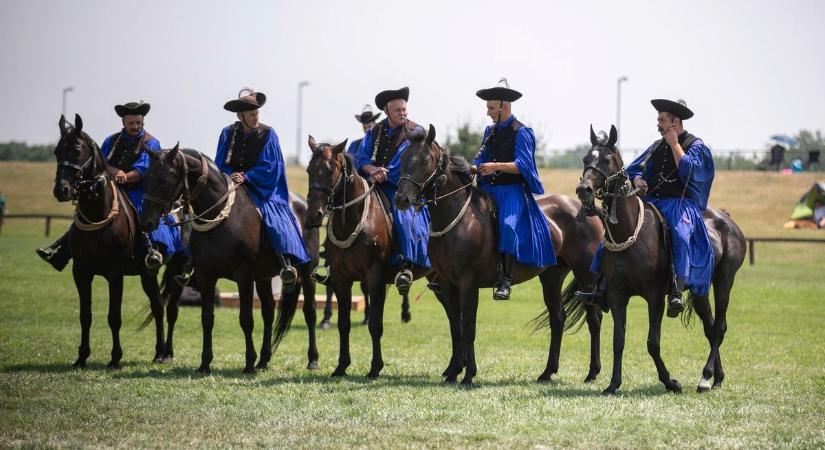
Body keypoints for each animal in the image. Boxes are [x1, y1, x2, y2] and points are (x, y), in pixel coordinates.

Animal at [53, 114, 185, 368]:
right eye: (56, 151)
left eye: (76, 150)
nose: (61, 190)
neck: (98, 214)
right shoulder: (81, 272)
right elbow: (85, 316)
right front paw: (81, 357)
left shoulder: (115, 274)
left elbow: (114, 317)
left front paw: (115, 358)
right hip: (147, 273)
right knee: (158, 306)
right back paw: (160, 351)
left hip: (176, 269)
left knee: (168, 309)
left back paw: (163, 352)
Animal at [138, 147, 318, 372]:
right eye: (146, 178)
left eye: (164, 179)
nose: (146, 222)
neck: (221, 215)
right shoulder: (205, 275)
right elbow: (207, 318)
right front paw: (205, 363)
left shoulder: (244, 275)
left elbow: (246, 319)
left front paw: (248, 363)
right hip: (264, 277)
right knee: (268, 312)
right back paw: (263, 360)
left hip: (307, 272)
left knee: (310, 313)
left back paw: (312, 360)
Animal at [306, 135, 428, 378]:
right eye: (309, 170)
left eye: (331, 169)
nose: (314, 215)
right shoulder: (341, 279)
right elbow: (343, 324)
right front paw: (341, 366)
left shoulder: (375, 278)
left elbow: (375, 325)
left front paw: (375, 367)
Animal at [396, 125, 600, 384]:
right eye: (403, 158)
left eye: (425, 160)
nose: (401, 198)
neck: (458, 218)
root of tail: (586, 209)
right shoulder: (449, 286)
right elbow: (456, 329)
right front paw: (453, 372)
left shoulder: (468, 284)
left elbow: (468, 328)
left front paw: (468, 374)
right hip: (552, 277)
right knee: (558, 319)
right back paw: (547, 372)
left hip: (586, 276)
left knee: (594, 319)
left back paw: (592, 373)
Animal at [572, 124, 748, 394]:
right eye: (585, 159)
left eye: (608, 160)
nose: (584, 190)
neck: (629, 231)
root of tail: (726, 218)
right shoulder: (617, 296)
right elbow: (618, 340)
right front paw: (613, 384)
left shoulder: (655, 296)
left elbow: (652, 342)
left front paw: (670, 381)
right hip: (700, 289)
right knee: (710, 328)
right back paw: (716, 377)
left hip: (724, 281)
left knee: (719, 327)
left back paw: (706, 377)